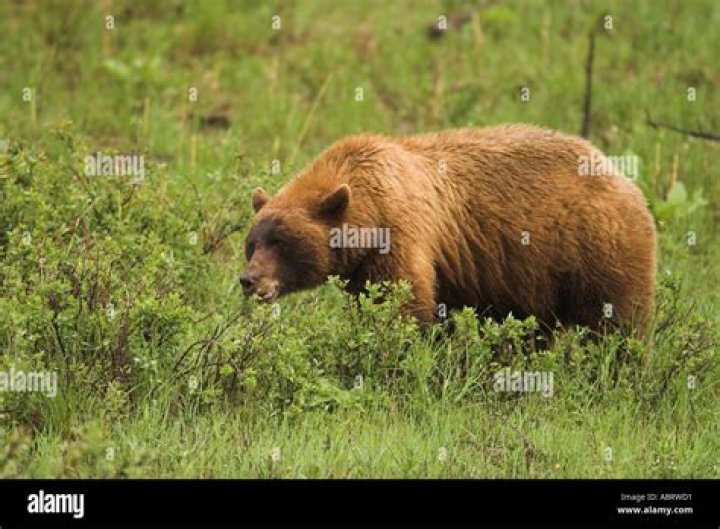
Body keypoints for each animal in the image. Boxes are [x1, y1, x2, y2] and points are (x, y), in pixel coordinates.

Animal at [241, 124, 657, 334]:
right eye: (251, 243)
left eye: (280, 241)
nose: (248, 280)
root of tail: (623, 178)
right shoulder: (360, 266)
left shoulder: (400, 234)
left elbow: (404, 302)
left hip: (597, 247)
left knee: (618, 320)